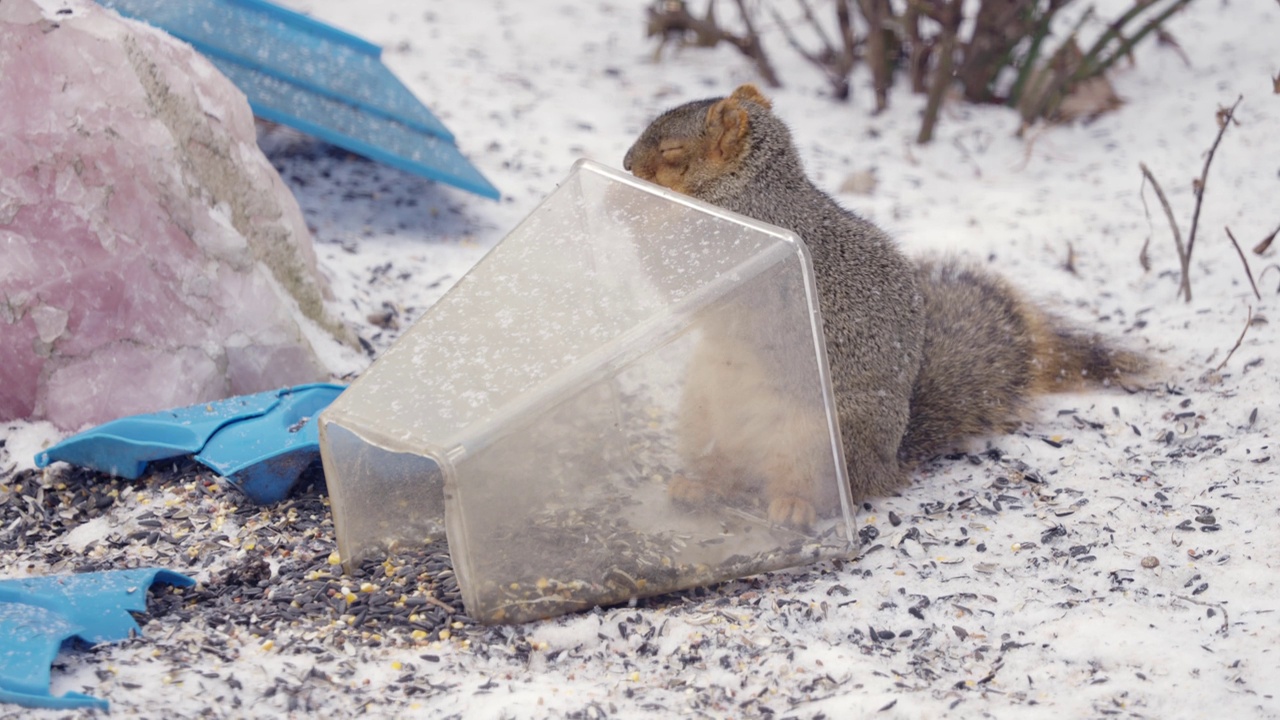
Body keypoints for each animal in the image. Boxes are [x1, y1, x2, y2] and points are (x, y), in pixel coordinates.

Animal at [624, 83, 1146, 525]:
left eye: (672, 151)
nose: (627, 166)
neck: (745, 183)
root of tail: (888, 461)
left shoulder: (741, 239)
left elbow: (681, 261)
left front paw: (628, 207)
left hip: (815, 438)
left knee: (824, 490)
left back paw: (792, 505)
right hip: (706, 411)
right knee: (732, 472)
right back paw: (699, 485)